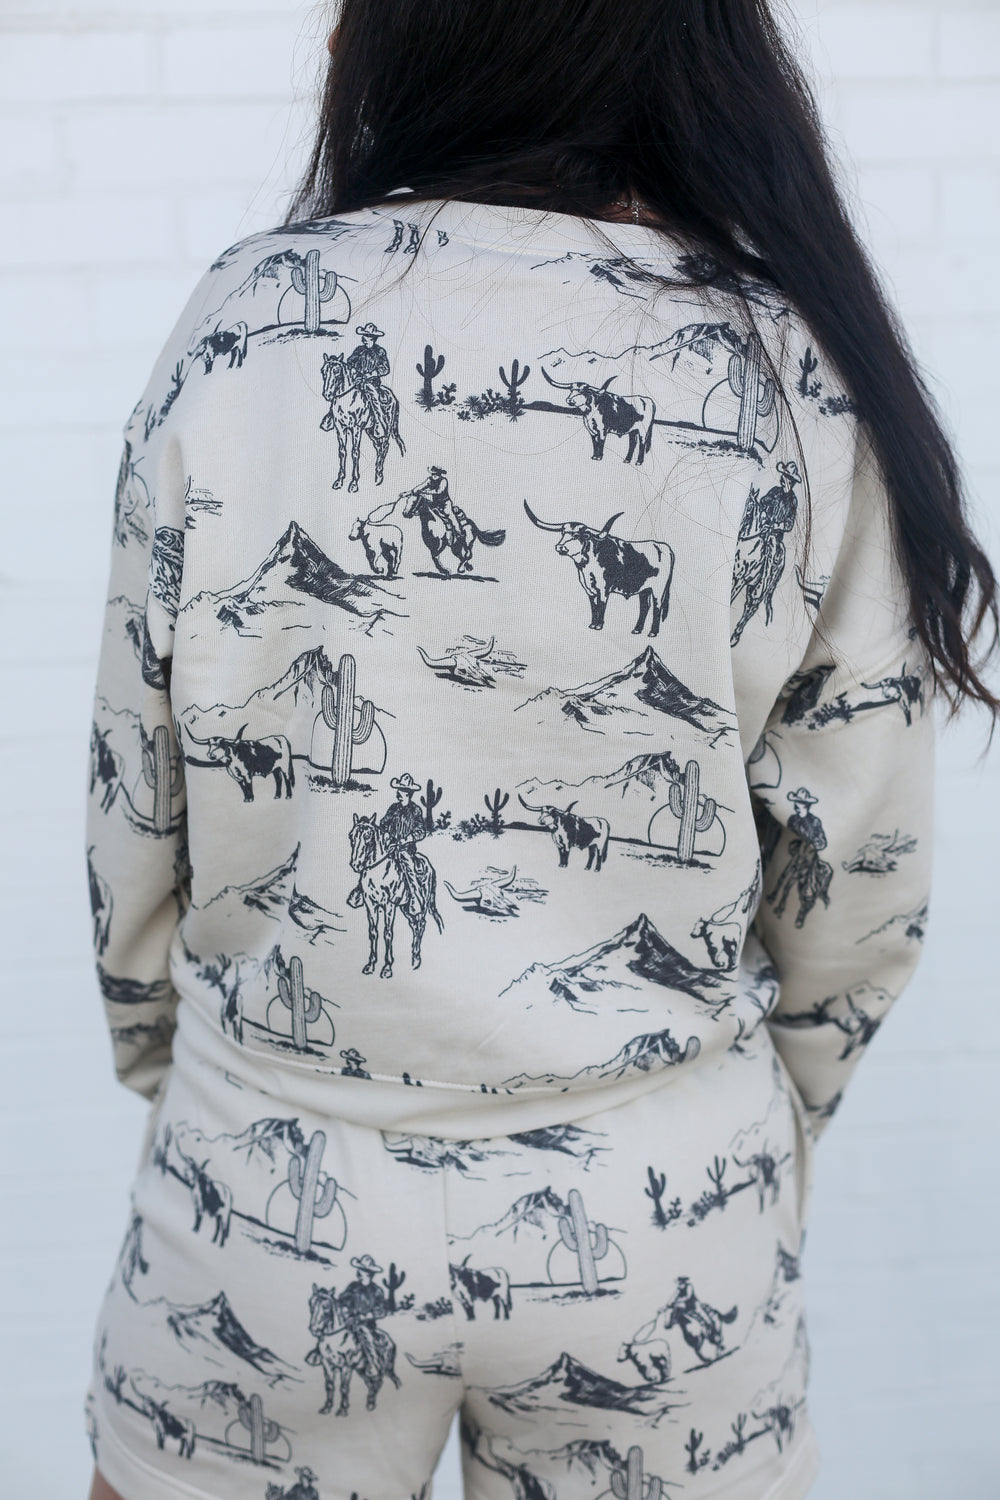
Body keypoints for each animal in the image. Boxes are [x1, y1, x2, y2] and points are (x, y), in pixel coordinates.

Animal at [306, 1283, 401, 1417]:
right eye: (311, 1303)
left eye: (326, 1306)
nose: (314, 1329)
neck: (336, 1339)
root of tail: (390, 1340)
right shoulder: (327, 1365)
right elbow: (329, 1385)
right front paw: (327, 1408)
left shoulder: (346, 1366)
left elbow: (344, 1387)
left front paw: (342, 1410)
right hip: (362, 1370)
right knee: (372, 1384)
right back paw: (370, 1404)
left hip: (387, 1368)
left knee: (391, 1380)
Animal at [319, 354, 405, 492]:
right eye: (323, 371)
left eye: (337, 371)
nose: (327, 394)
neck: (347, 401)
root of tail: (393, 397)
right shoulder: (340, 428)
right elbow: (342, 451)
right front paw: (339, 481)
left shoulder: (356, 428)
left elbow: (355, 452)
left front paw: (354, 483)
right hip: (370, 431)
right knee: (378, 447)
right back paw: (377, 474)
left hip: (386, 429)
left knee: (385, 446)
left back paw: (379, 476)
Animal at [347, 814, 444, 978]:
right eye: (351, 836)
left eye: (367, 836)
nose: (356, 864)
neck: (379, 872)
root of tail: (429, 866)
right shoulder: (370, 904)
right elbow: (373, 932)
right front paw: (370, 965)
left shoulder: (389, 905)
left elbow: (387, 933)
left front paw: (387, 968)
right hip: (406, 908)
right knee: (414, 926)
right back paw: (413, 957)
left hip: (420, 905)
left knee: (421, 924)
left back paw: (416, 959)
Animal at [523, 500, 674, 636]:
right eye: (563, 533)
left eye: (576, 535)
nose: (560, 547)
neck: (586, 566)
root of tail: (663, 547)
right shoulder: (590, 590)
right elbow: (594, 606)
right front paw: (592, 624)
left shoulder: (603, 588)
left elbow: (601, 605)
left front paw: (598, 626)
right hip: (644, 589)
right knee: (644, 606)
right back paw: (637, 630)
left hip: (658, 589)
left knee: (657, 607)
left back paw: (653, 633)